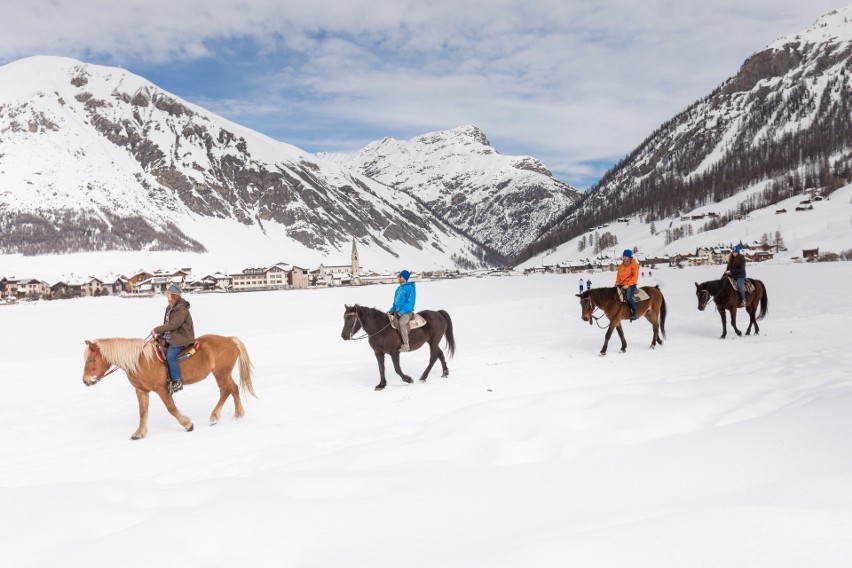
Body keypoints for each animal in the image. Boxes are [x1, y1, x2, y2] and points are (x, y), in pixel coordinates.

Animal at [83, 336, 256, 442]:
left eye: (90, 359)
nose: (85, 381)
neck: (141, 361)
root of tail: (229, 339)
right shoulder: (141, 391)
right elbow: (142, 413)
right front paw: (139, 433)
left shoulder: (162, 389)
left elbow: (171, 408)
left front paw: (188, 424)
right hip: (224, 373)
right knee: (233, 389)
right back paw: (238, 414)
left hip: (221, 373)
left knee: (225, 391)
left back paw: (214, 417)